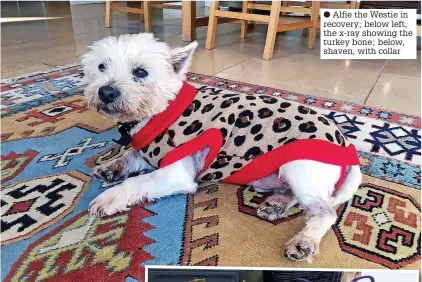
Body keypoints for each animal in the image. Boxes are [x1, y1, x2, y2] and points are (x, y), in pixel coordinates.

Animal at [82, 33, 362, 262]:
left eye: (141, 72)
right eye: (101, 66)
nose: (106, 92)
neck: (159, 112)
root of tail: (347, 146)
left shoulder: (176, 174)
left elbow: (136, 182)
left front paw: (108, 198)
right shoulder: (149, 151)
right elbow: (130, 156)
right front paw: (111, 167)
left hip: (298, 166)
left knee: (325, 211)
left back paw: (305, 240)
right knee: (302, 199)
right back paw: (278, 203)